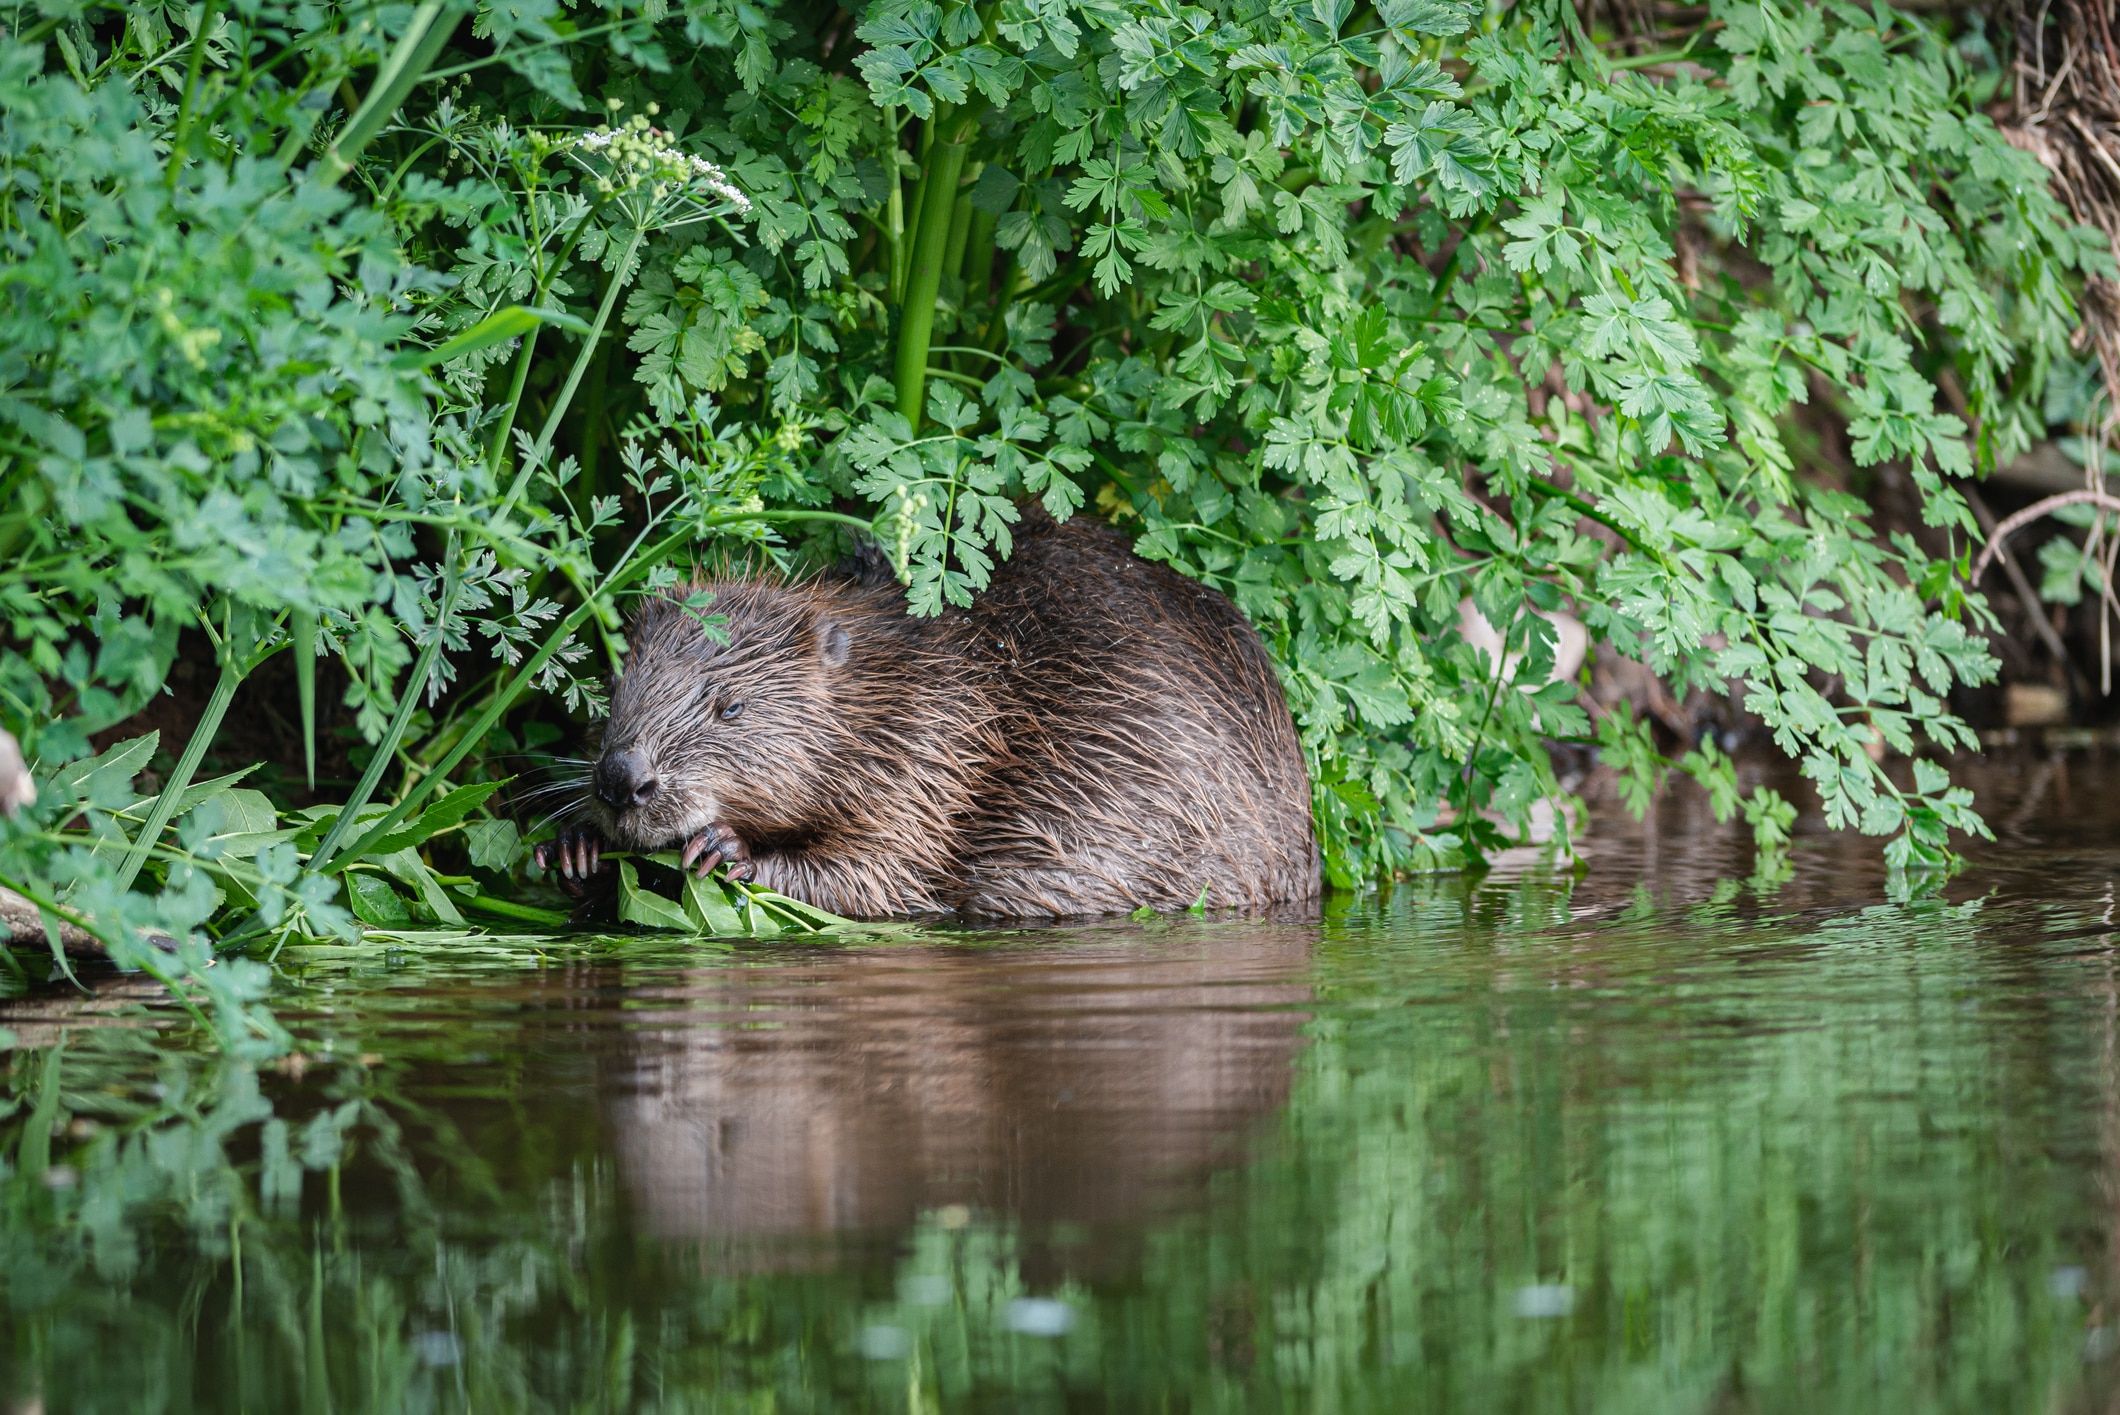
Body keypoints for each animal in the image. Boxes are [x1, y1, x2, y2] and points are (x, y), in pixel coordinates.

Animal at [534, 509, 1305, 920]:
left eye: (731, 705)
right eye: (618, 684)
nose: (622, 778)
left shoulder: (928, 753)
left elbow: (885, 874)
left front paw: (727, 850)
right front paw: (571, 847)